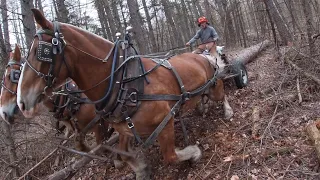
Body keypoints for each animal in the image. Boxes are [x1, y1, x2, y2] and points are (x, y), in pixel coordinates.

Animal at [17, 9, 232, 179]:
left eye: (41, 52)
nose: (21, 102)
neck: (124, 82)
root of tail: (201, 54)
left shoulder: (165, 122)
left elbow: (170, 157)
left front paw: (194, 152)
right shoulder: (124, 129)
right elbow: (122, 153)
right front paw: (141, 169)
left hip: (215, 85)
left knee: (222, 93)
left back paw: (227, 111)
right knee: (203, 96)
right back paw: (202, 106)